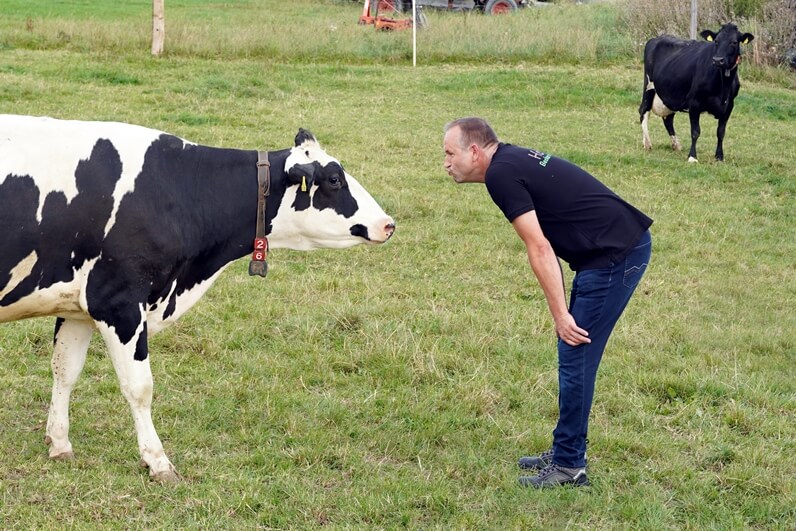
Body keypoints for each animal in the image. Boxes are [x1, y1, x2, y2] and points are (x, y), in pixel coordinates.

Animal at [0, 115, 394, 482]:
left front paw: (59, 443)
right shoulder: (119, 302)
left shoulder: (80, 306)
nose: (388, 224)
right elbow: (139, 387)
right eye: (334, 180)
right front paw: (158, 462)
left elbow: (65, 370)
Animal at [636, 22, 756, 163]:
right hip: (649, 86)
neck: (723, 85)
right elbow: (695, 132)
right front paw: (692, 157)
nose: (718, 60)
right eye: (716, 41)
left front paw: (719, 157)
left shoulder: (729, 105)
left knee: (668, 119)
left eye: (734, 42)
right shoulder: (694, 103)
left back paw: (676, 145)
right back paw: (647, 143)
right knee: (643, 111)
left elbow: (721, 132)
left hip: (670, 95)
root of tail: (656, 38)